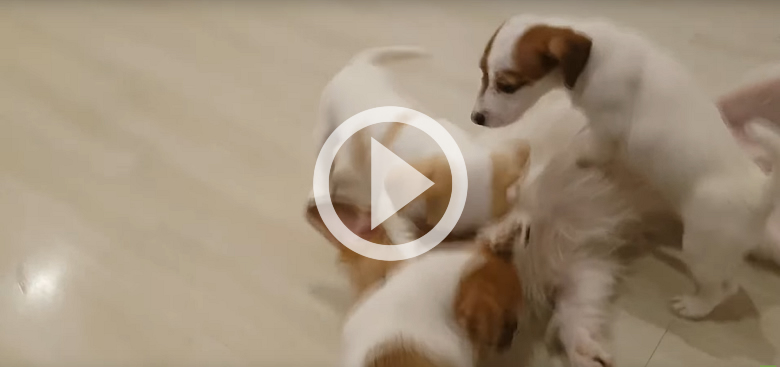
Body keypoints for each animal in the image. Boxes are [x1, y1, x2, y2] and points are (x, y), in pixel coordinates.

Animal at [470, 14, 780, 320]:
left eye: (507, 86)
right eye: (482, 73)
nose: (475, 118)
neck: (594, 53)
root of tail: (760, 195)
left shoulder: (606, 128)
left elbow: (585, 147)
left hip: (702, 249)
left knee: (722, 289)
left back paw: (694, 307)